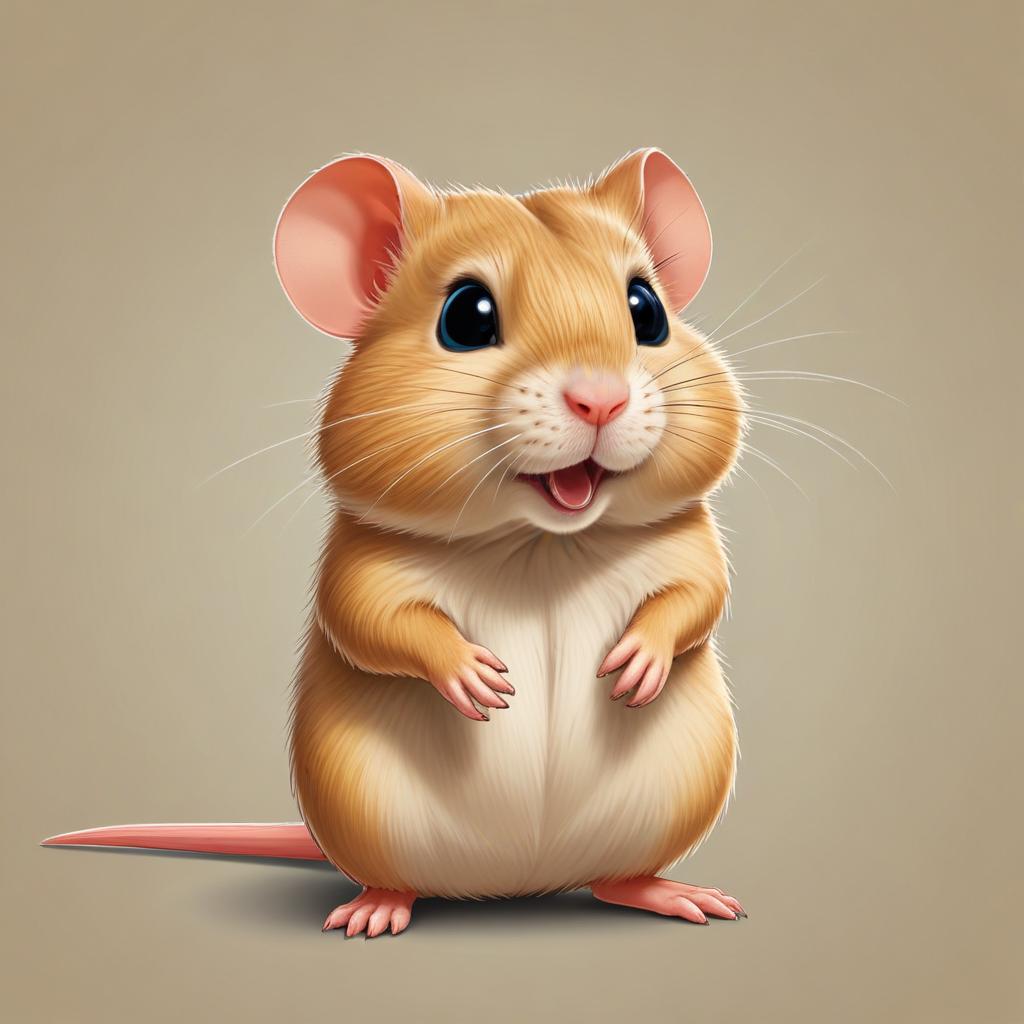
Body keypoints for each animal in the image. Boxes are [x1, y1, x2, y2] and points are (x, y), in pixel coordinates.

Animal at [43, 149, 746, 936]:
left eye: (645, 310)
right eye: (466, 317)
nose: (601, 399)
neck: (541, 545)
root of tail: (520, 884)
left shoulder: (691, 544)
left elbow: (698, 598)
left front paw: (635, 665)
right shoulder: (361, 564)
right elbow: (374, 623)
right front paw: (477, 678)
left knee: (617, 879)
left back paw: (672, 893)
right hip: (357, 805)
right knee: (394, 877)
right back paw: (375, 909)